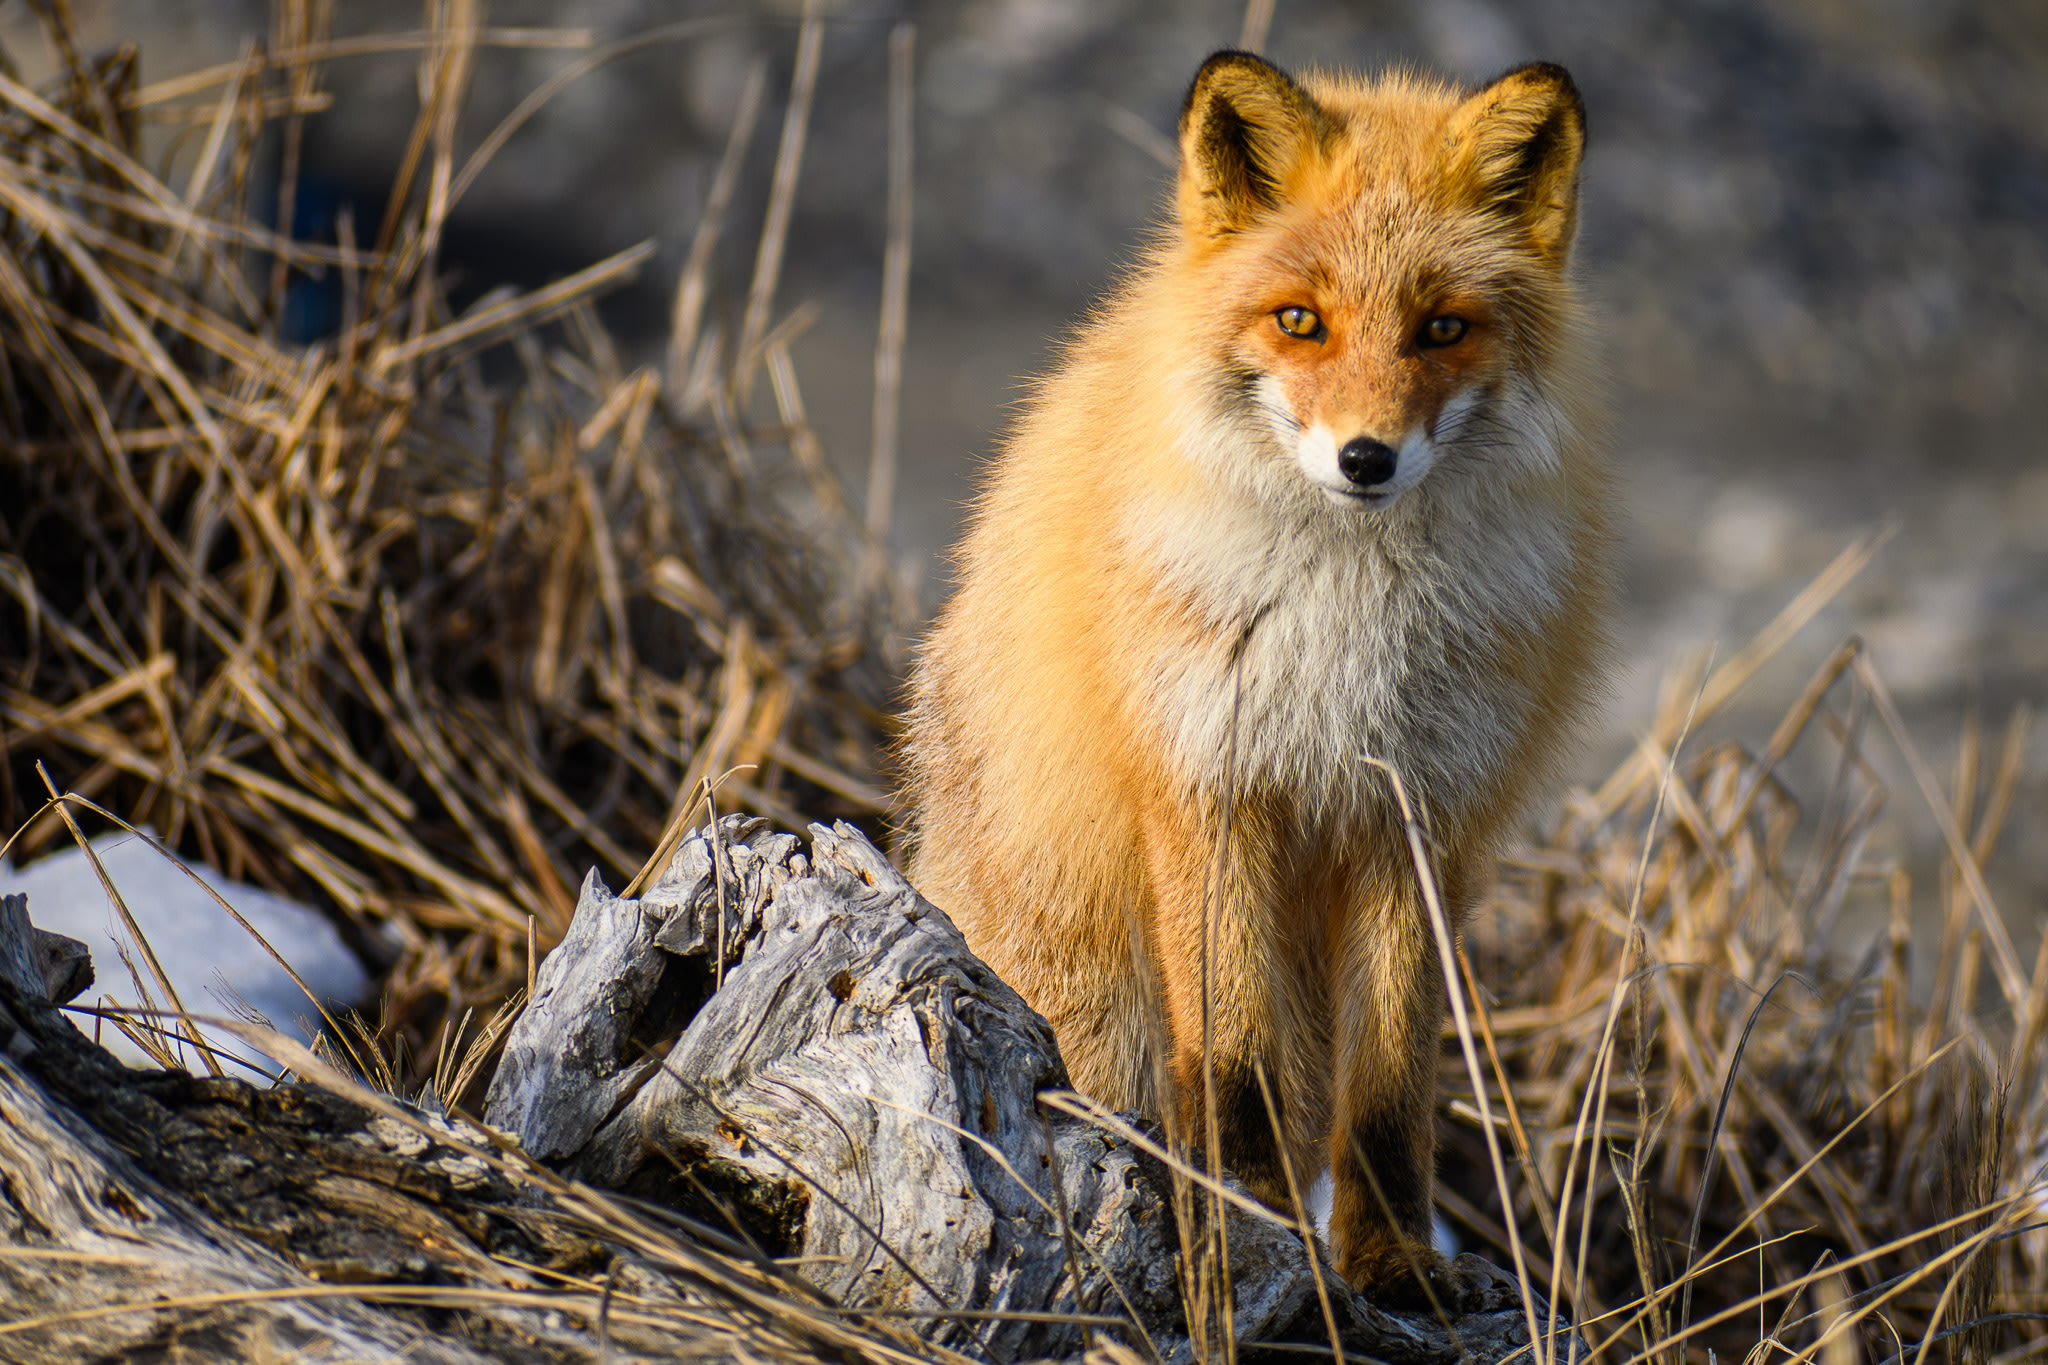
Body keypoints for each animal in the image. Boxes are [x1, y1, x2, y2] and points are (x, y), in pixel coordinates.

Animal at [905, 48, 1605, 1301]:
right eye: (1298, 322)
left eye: (1440, 327)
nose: (1365, 458)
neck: (1346, 636)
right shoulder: (1209, 786)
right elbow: (1230, 1062)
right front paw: (1240, 1235)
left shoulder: (1415, 813)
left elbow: (1389, 1086)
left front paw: (1387, 1261)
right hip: (1090, 996)